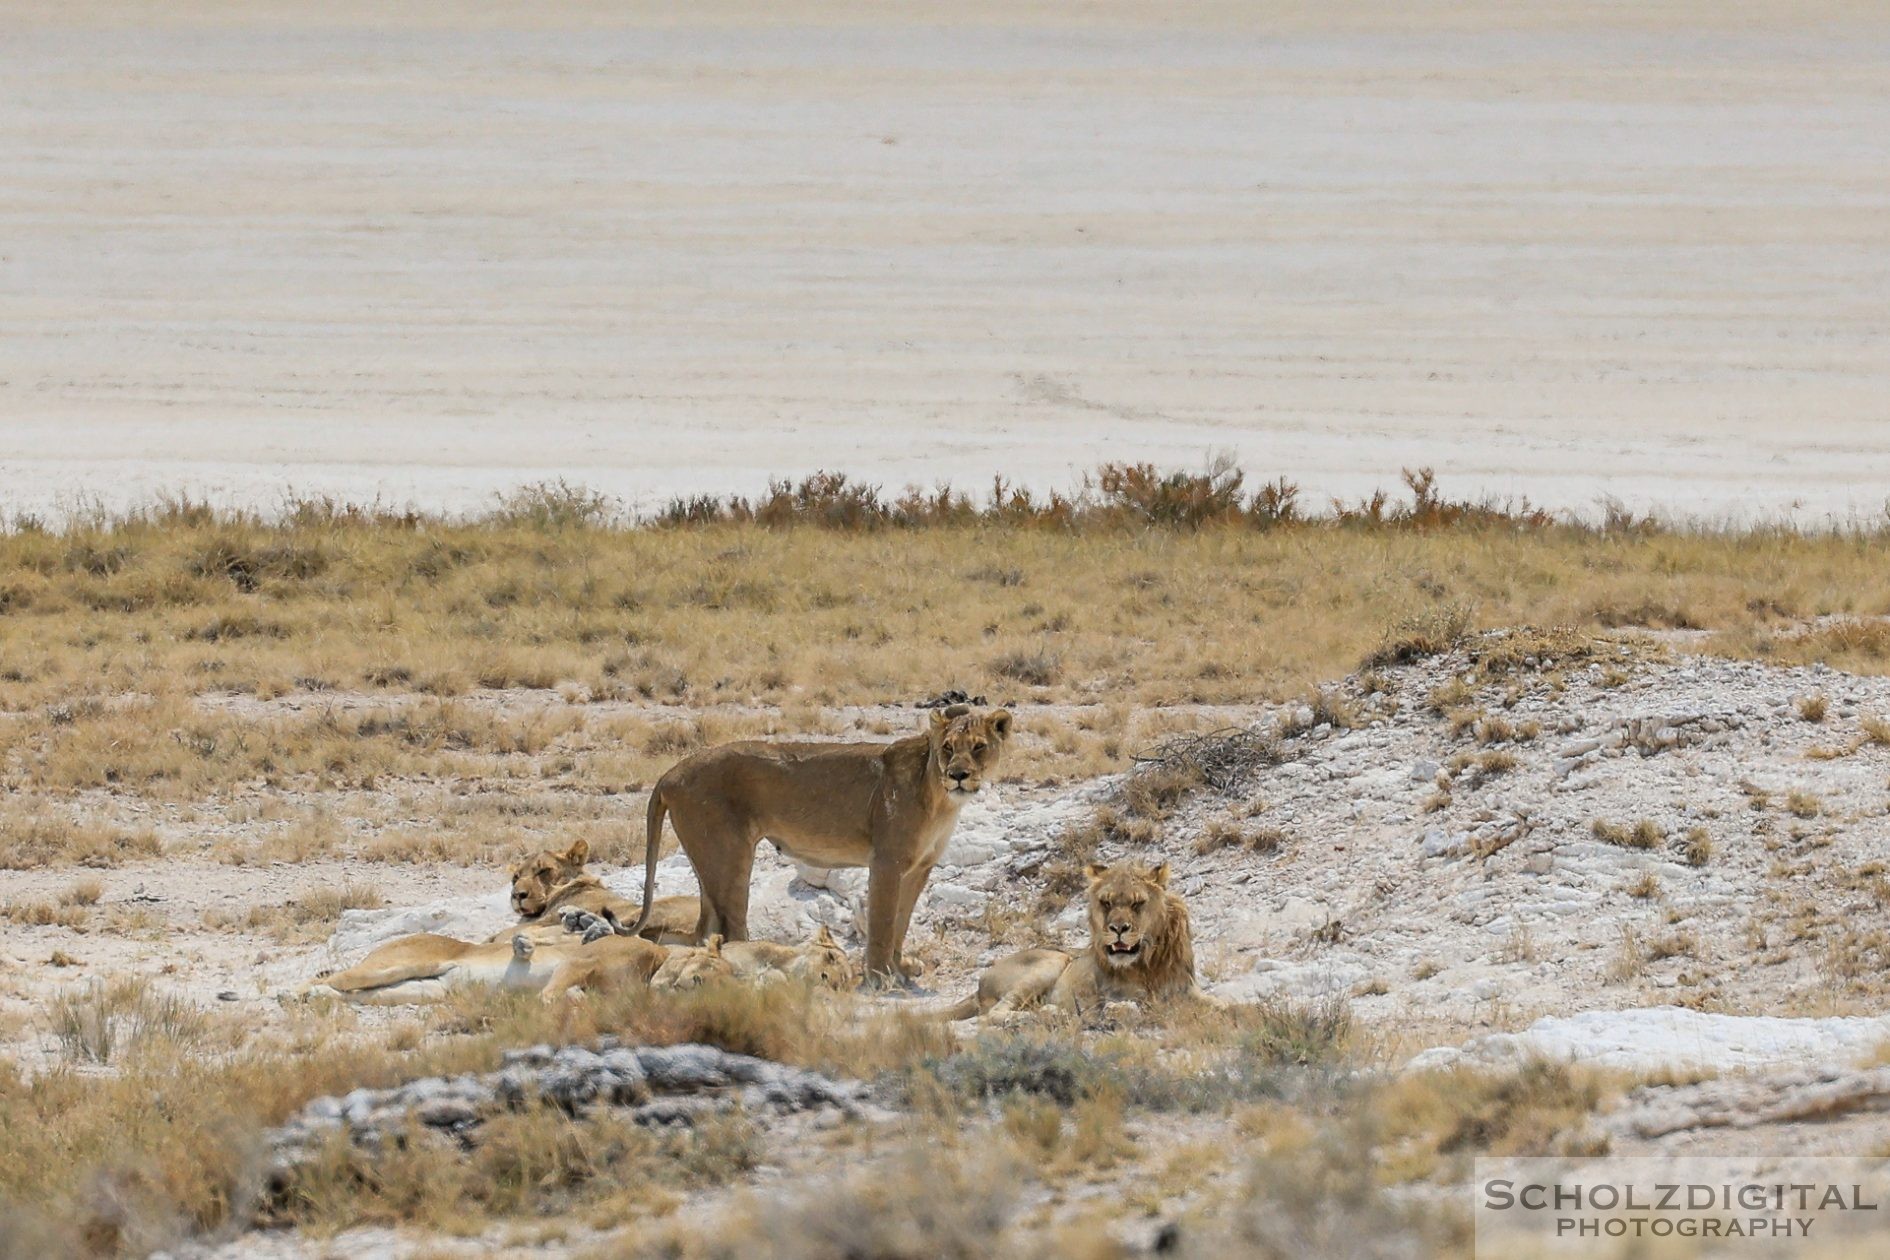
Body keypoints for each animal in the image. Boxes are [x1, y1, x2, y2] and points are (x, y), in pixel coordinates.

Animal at [635, 706, 1013, 982]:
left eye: (979, 747)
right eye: (948, 748)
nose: (958, 775)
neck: (940, 798)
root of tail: (670, 773)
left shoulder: (920, 867)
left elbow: (901, 922)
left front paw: (901, 967)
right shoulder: (886, 862)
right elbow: (883, 921)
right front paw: (879, 977)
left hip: (710, 861)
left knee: (706, 927)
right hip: (730, 855)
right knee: (729, 927)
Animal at [929, 861, 1209, 1020]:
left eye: (1137, 903)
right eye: (1106, 902)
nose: (1118, 928)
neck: (1148, 962)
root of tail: (979, 984)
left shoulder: (1186, 990)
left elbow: (1218, 1005)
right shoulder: (1108, 998)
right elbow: (1139, 1006)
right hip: (1052, 961)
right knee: (994, 1015)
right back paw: (1033, 1018)